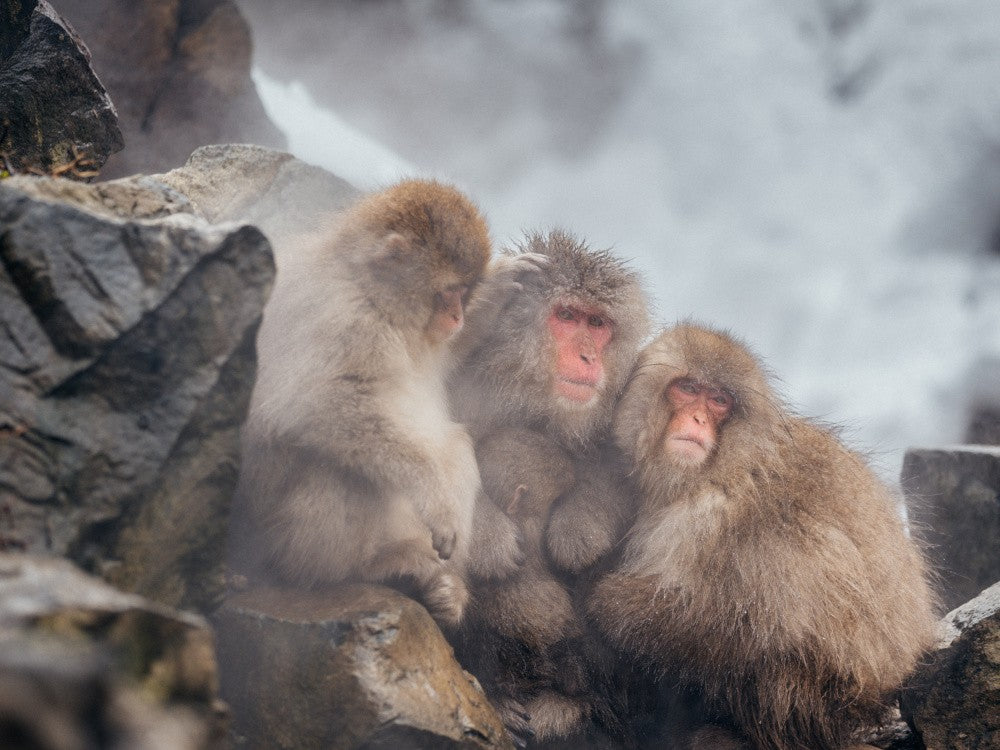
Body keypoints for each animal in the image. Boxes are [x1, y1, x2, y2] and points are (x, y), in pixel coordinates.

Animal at [228, 178, 490, 628]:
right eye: (449, 294)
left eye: (465, 294)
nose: (458, 318)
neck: (371, 294)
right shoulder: (344, 319)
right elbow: (318, 402)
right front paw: (432, 494)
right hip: (274, 532)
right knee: (346, 468)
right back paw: (365, 568)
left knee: (453, 443)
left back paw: (445, 587)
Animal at [447, 230, 652, 743]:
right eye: (567, 316)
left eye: (597, 324)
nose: (588, 356)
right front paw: (489, 536)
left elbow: (616, 470)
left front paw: (578, 530)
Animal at [587, 323, 939, 750]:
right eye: (687, 388)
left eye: (719, 400)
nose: (697, 418)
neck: (724, 465)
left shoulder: (706, 516)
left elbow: (750, 622)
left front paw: (606, 604)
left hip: (810, 699)